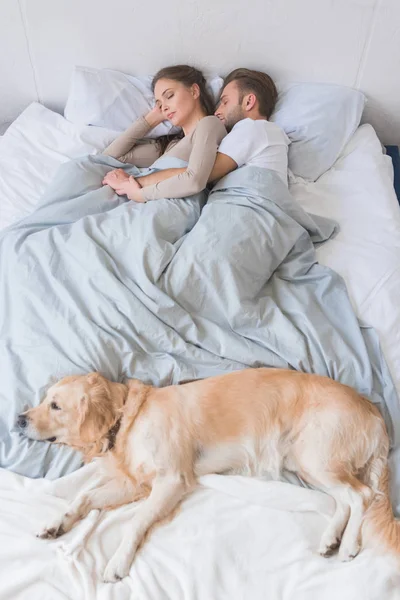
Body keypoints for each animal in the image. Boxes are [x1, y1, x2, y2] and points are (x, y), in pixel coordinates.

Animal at [17, 368, 398, 584]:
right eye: (45, 399)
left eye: (55, 405)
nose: (19, 419)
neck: (126, 419)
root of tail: (376, 414)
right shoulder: (135, 483)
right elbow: (83, 497)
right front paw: (57, 523)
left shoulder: (170, 480)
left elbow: (136, 521)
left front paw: (119, 561)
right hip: (306, 463)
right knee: (343, 500)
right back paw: (331, 539)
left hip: (315, 456)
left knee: (361, 495)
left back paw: (348, 545)